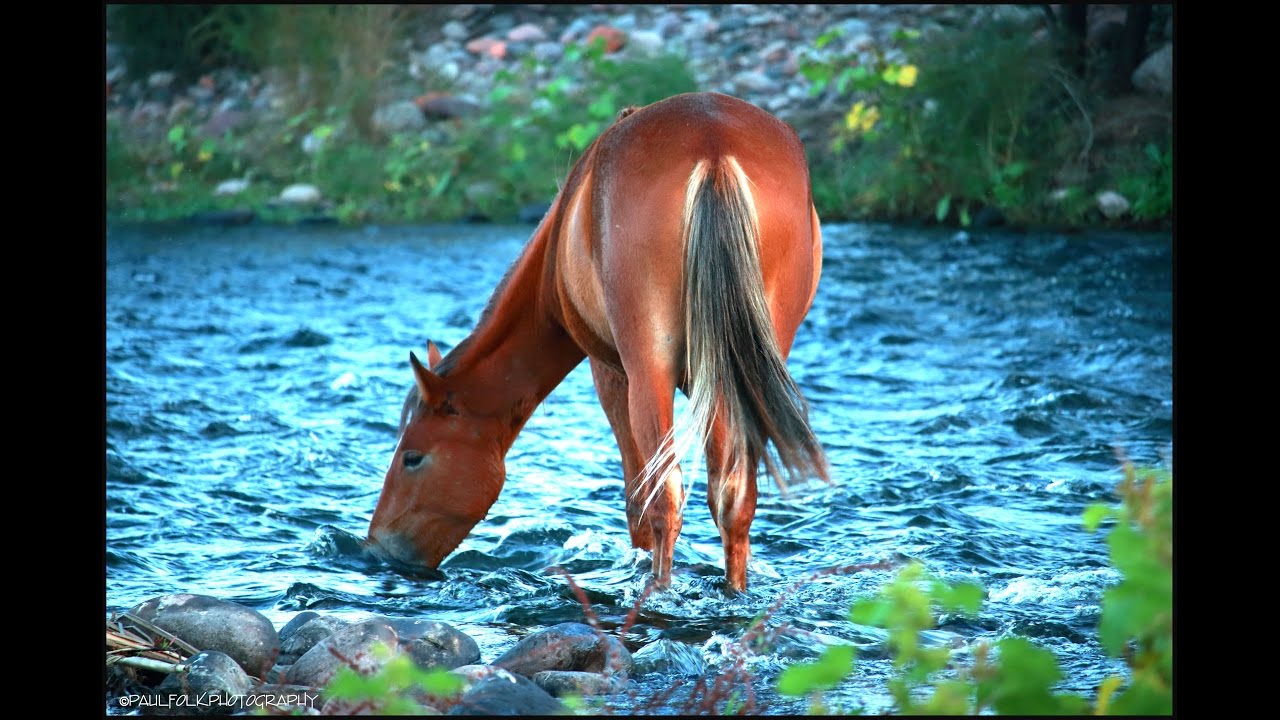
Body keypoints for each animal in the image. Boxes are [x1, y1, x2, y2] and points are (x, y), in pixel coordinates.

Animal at [368, 91, 828, 593]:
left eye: (412, 458)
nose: (379, 548)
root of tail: (714, 148)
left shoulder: (612, 373)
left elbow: (639, 500)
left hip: (648, 372)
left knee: (665, 495)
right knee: (734, 493)